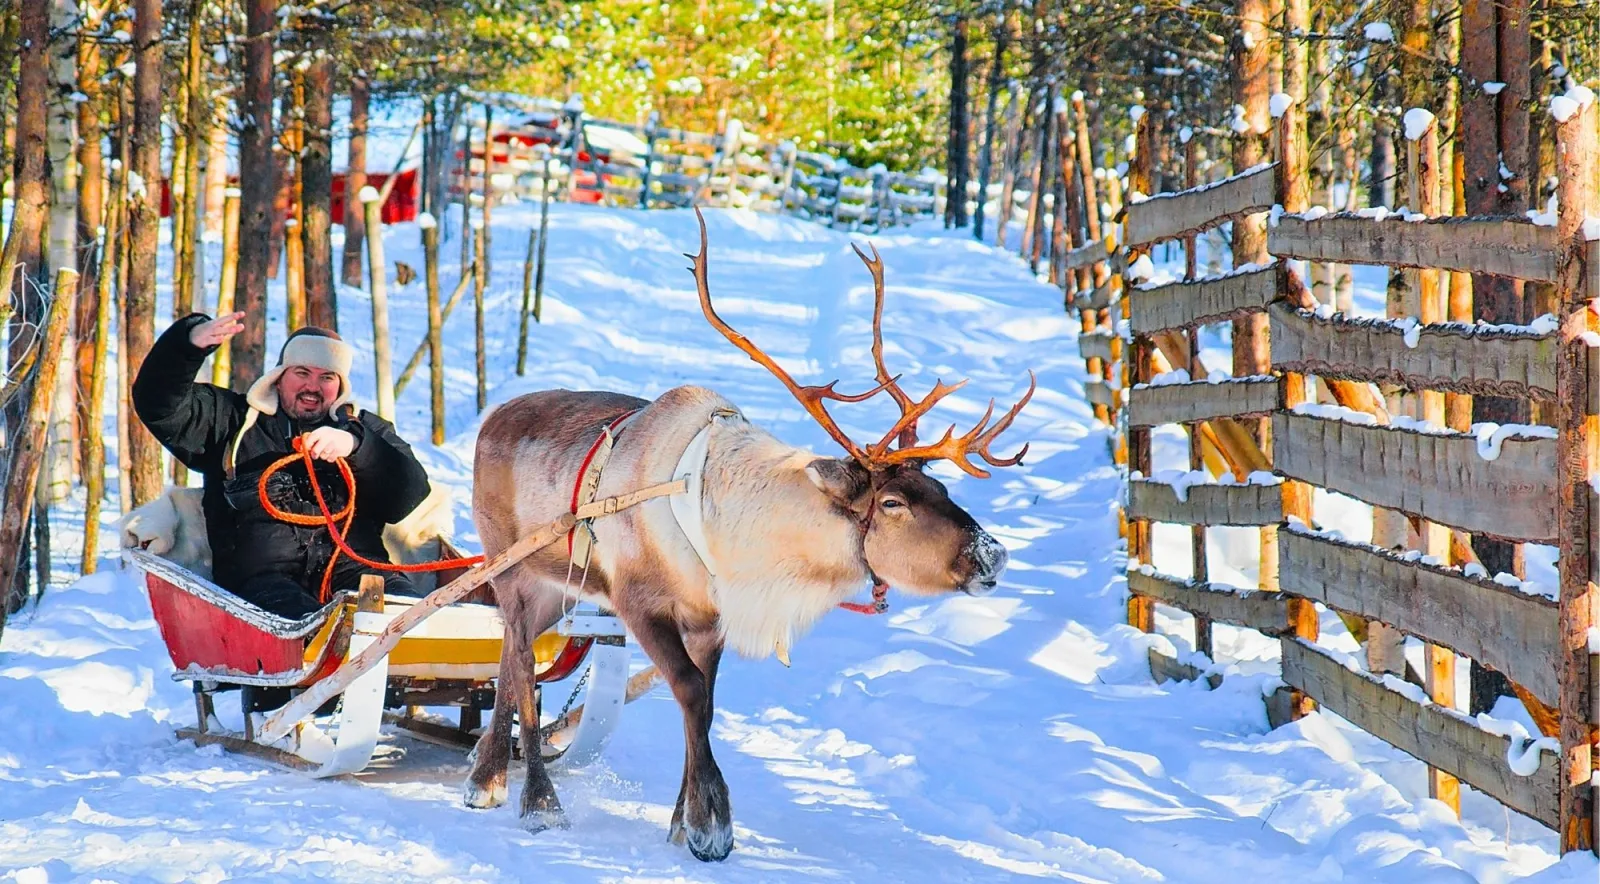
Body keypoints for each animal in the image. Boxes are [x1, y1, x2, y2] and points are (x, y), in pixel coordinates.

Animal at [463, 210, 1034, 861]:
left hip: (554, 585)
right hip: (510, 565)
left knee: (510, 653)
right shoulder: (640, 602)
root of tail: (491, 418)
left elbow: (705, 703)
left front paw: (681, 820)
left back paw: (487, 775)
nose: (993, 553)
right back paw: (535, 799)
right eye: (892, 502)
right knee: (519, 659)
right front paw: (711, 823)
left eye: (938, 488)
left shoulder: (709, 618)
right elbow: (687, 689)